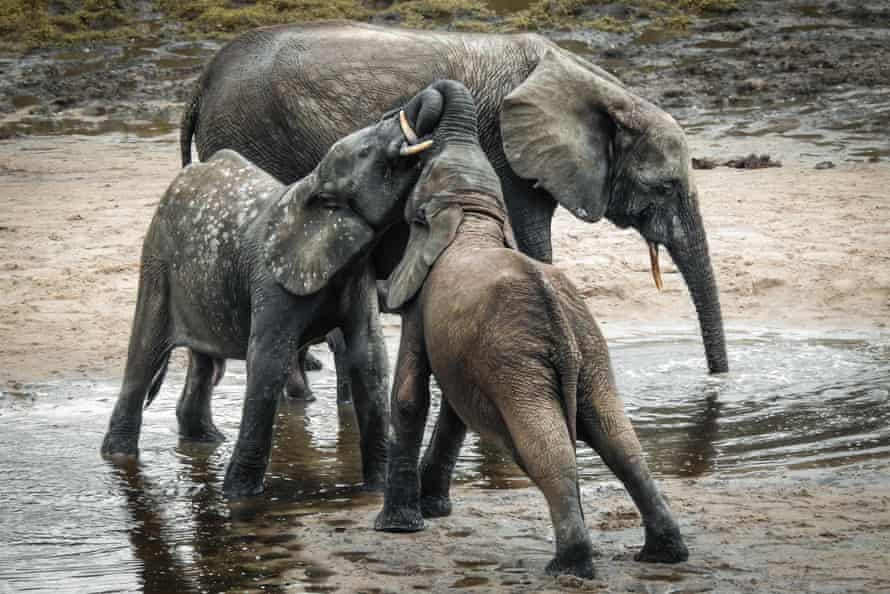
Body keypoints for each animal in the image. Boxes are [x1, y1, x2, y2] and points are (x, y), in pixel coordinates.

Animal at [100, 86, 444, 494]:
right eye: (366, 152)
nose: (412, 107)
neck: (311, 186)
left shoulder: (356, 273)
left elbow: (370, 359)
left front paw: (376, 490)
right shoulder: (270, 281)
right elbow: (268, 363)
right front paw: (240, 497)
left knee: (203, 362)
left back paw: (206, 441)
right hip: (157, 261)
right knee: (145, 353)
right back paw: (120, 459)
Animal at [182, 23, 728, 382]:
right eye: (664, 187)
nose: (716, 380)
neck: (592, 86)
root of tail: (201, 82)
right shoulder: (505, 153)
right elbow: (533, 243)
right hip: (252, 135)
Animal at [374, 81, 688, 576]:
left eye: (421, 177)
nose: (413, 113)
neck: (472, 215)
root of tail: (558, 319)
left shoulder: (419, 304)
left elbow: (409, 396)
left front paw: (396, 528)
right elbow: (453, 409)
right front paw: (429, 512)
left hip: (517, 362)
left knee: (547, 445)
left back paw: (569, 567)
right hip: (590, 352)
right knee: (620, 440)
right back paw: (662, 554)